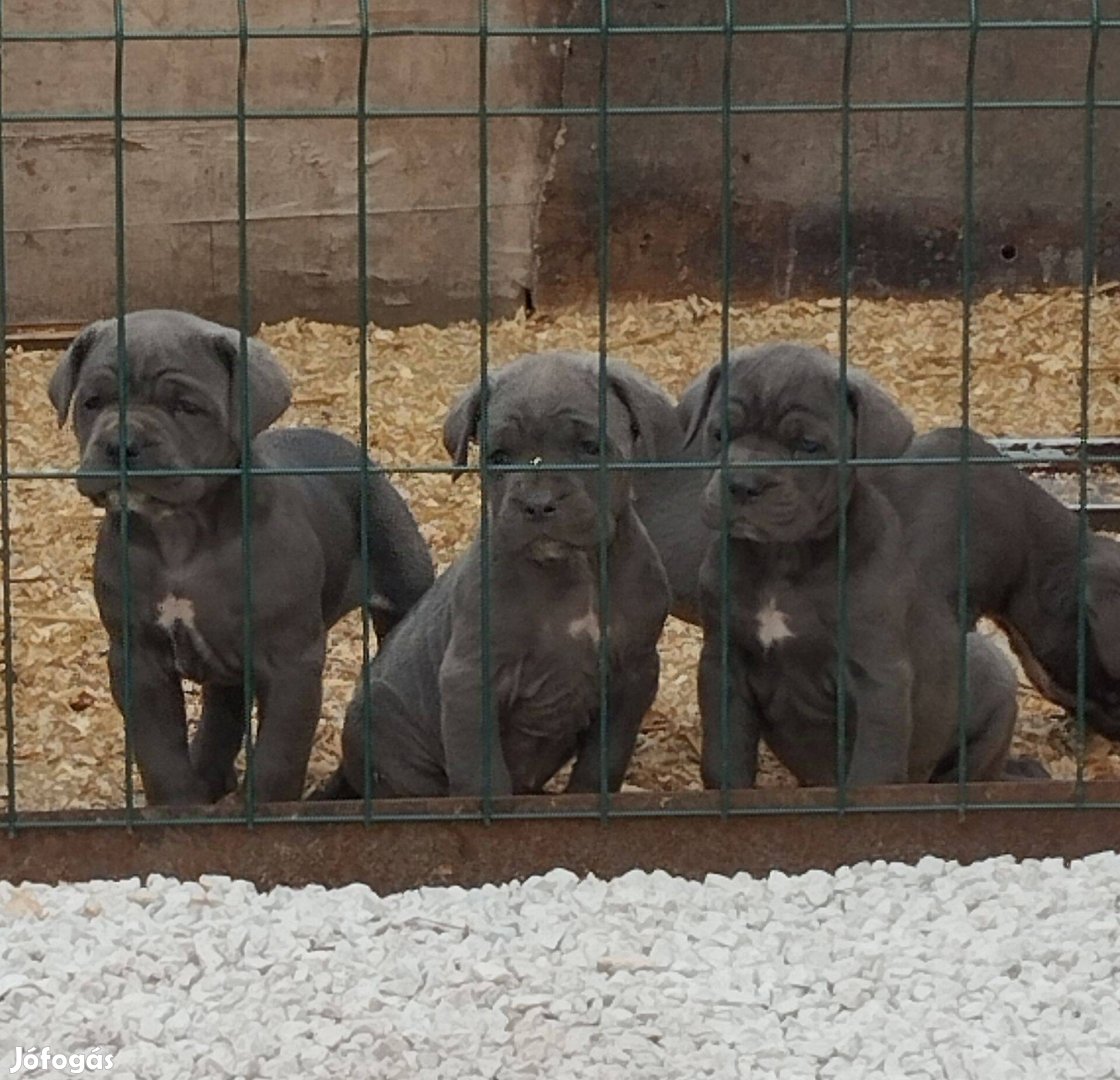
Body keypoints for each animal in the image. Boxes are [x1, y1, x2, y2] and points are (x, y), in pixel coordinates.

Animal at [53, 306, 436, 806]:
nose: (121, 444)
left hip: (401, 581)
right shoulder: (139, 659)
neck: (181, 534)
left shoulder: (291, 661)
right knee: (223, 712)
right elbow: (159, 751)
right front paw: (181, 806)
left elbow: (279, 751)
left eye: (186, 407)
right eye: (92, 402)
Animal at [327, 349, 672, 797]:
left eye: (590, 447)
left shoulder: (634, 675)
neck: (573, 571)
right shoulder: (470, 680)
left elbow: (604, 760)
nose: (538, 504)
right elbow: (481, 772)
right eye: (500, 457)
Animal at [680, 342, 1016, 784]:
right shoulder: (724, 664)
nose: (743, 483)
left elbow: (873, 766)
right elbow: (725, 755)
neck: (782, 561)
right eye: (719, 433)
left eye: (808, 446)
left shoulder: (877, 679)